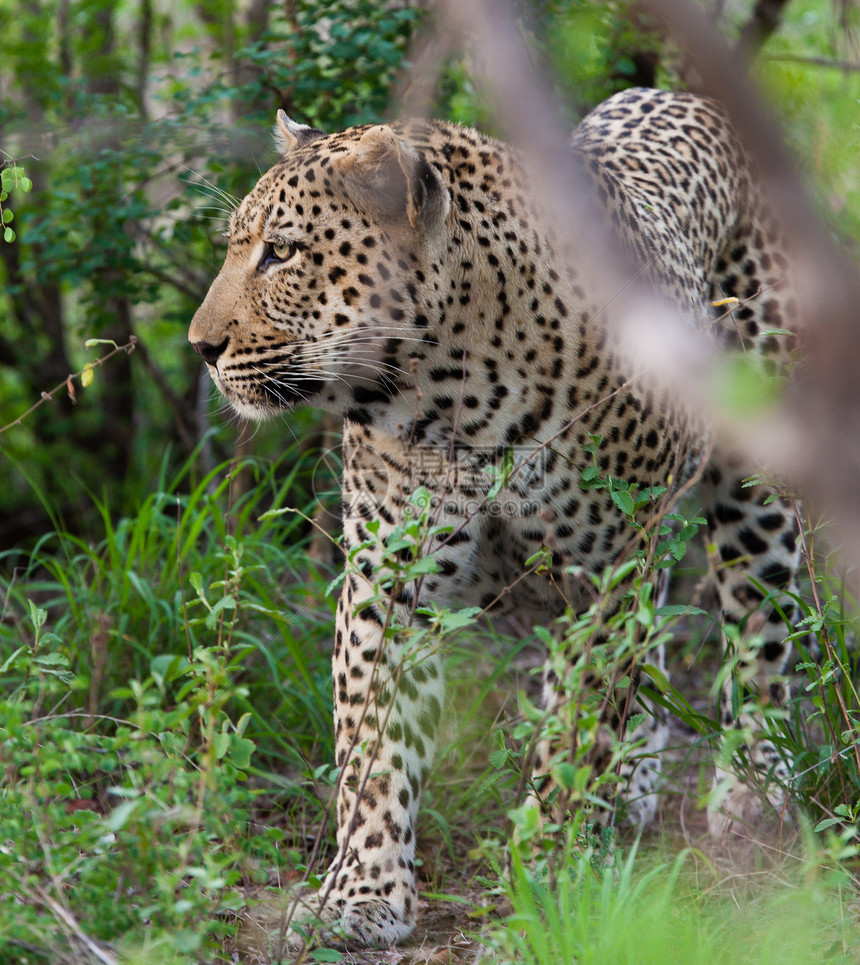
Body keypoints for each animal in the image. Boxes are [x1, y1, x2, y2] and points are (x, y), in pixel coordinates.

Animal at [188, 88, 800, 948]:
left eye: (281, 253)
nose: (200, 347)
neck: (454, 394)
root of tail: (683, 94)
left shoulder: (602, 578)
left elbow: (576, 734)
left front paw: (547, 877)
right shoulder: (386, 578)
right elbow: (373, 748)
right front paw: (361, 894)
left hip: (753, 489)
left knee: (761, 633)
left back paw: (753, 787)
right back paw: (634, 785)